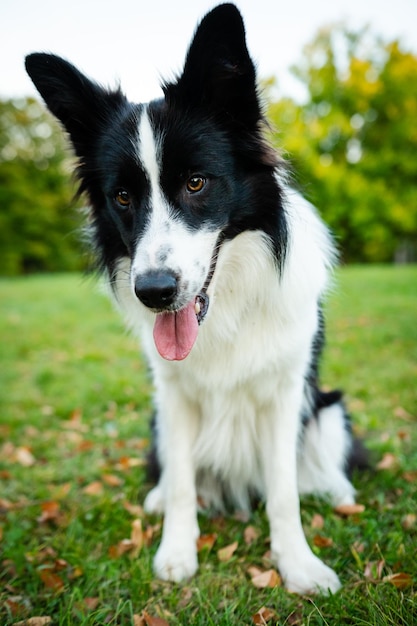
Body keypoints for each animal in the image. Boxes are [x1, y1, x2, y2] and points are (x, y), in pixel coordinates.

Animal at [24, 3, 360, 588]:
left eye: (197, 183)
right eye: (122, 196)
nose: (154, 293)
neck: (225, 308)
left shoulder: (285, 392)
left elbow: (284, 490)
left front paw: (298, 565)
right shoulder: (173, 396)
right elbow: (182, 479)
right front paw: (177, 551)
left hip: (329, 406)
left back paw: (338, 491)